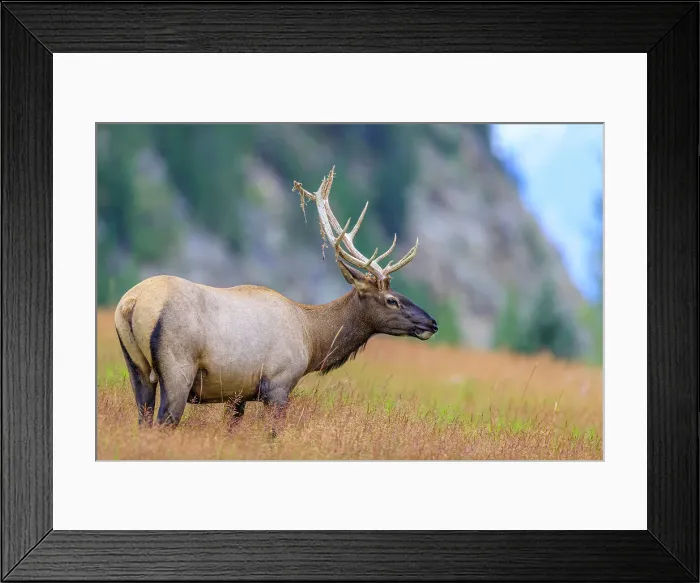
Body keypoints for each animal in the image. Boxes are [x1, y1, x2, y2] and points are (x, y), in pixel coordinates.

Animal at [114, 166, 438, 433]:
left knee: (143, 418)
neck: (312, 340)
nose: (432, 323)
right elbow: (274, 434)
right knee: (164, 421)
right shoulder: (279, 385)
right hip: (177, 366)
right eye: (392, 299)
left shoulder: (238, 395)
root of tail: (131, 303)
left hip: (137, 368)